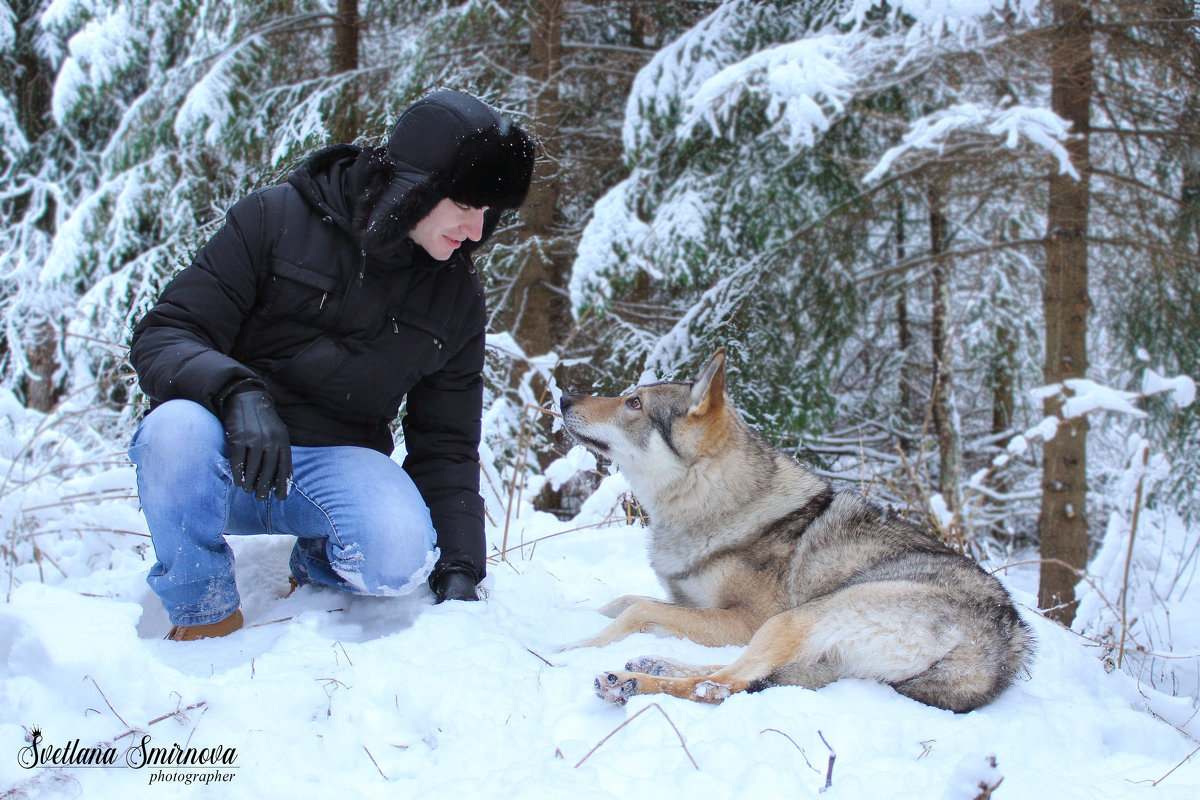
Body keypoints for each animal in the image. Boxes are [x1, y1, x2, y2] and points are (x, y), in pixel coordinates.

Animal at [556, 347, 1036, 710]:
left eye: (634, 403)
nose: (562, 398)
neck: (713, 502)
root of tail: (997, 654)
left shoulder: (748, 620)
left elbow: (638, 610)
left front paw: (574, 646)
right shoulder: (692, 602)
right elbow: (624, 601)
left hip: (793, 619)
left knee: (720, 687)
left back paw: (629, 683)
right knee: (734, 676)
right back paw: (650, 664)